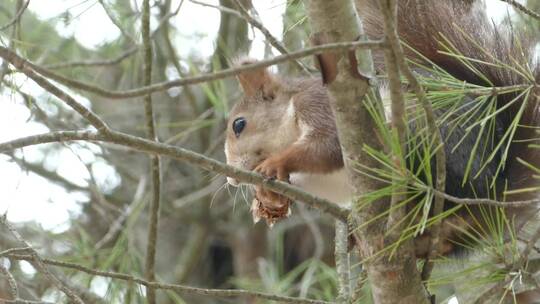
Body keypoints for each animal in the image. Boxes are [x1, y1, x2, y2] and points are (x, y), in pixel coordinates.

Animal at [224, 0, 540, 255]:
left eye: (239, 124)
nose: (231, 180)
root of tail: (493, 195)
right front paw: (271, 195)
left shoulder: (319, 105)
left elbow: (326, 147)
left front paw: (275, 163)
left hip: (428, 143)